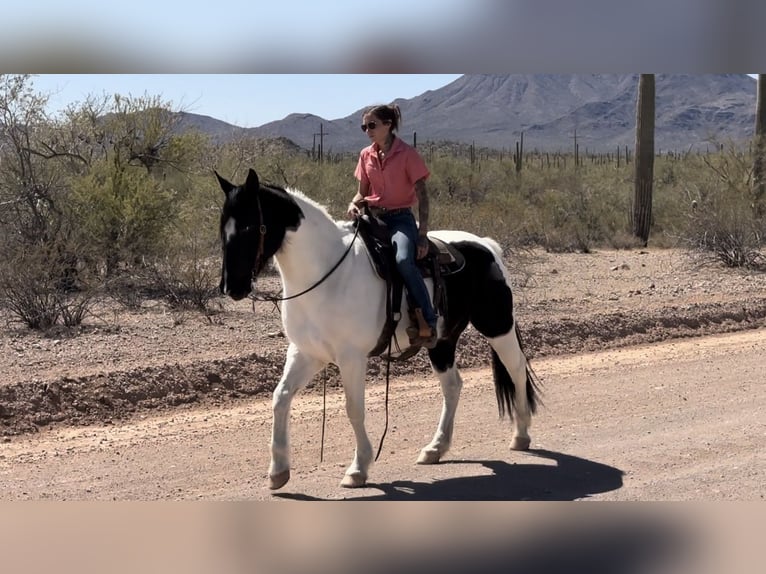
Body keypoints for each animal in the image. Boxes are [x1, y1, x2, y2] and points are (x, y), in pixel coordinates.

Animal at [214, 170, 540, 490]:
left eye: (248, 227)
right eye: (222, 229)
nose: (231, 288)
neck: (326, 274)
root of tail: (486, 245)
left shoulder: (351, 357)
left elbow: (353, 409)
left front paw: (358, 469)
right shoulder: (306, 353)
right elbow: (280, 398)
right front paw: (278, 471)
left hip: (496, 325)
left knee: (516, 367)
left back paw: (521, 434)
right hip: (442, 341)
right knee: (452, 386)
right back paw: (435, 448)